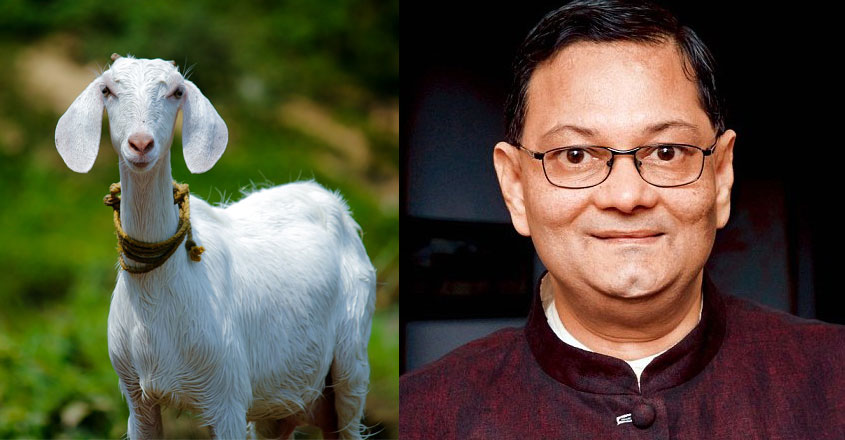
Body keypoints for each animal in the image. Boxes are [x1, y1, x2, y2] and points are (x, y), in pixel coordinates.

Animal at [54, 54, 376, 439]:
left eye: (177, 91)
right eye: (107, 89)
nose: (141, 144)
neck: (159, 296)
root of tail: (332, 200)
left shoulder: (227, 396)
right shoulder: (136, 396)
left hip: (352, 361)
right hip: (280, 403)